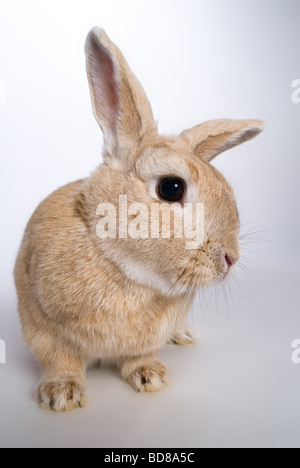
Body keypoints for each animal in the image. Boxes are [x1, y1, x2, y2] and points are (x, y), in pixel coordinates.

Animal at [14, 27, 264, 412]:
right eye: (172, 187)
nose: (230, 258)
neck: (122, 267)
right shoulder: (41, 325)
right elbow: (59, 358)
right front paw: (60, 396)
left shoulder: (147, 339)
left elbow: (140, 355)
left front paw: (151, 377)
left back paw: (185, 335)